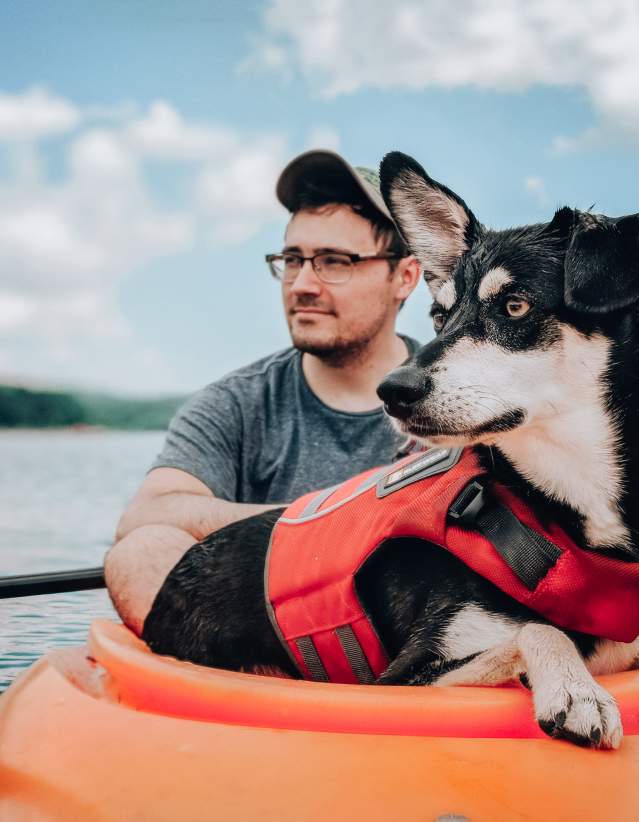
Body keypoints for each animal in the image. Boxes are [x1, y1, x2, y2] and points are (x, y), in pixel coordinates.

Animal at [142, 151, 639, 748]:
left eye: (516, 306)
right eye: (440, 316)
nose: (392, 391)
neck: (564, 511)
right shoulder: (402, 678)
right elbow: (535, 632)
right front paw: (577, 690)